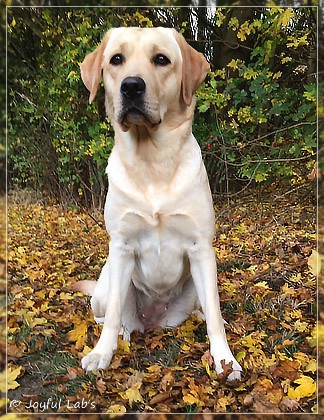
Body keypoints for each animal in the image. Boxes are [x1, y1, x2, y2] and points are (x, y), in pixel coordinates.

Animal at [78, 26, 240, 380]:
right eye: (116, 60)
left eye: (161, 59)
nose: (131, 86)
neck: (152, 162)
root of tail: (153, 321)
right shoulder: (121, 247)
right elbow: (112, 315)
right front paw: (101, 353)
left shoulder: (201, 249)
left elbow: (215, 316)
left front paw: (226, 362)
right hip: (108, 282)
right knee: (106, 315)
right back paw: (122, 334)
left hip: (195, 284)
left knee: (205, 309)